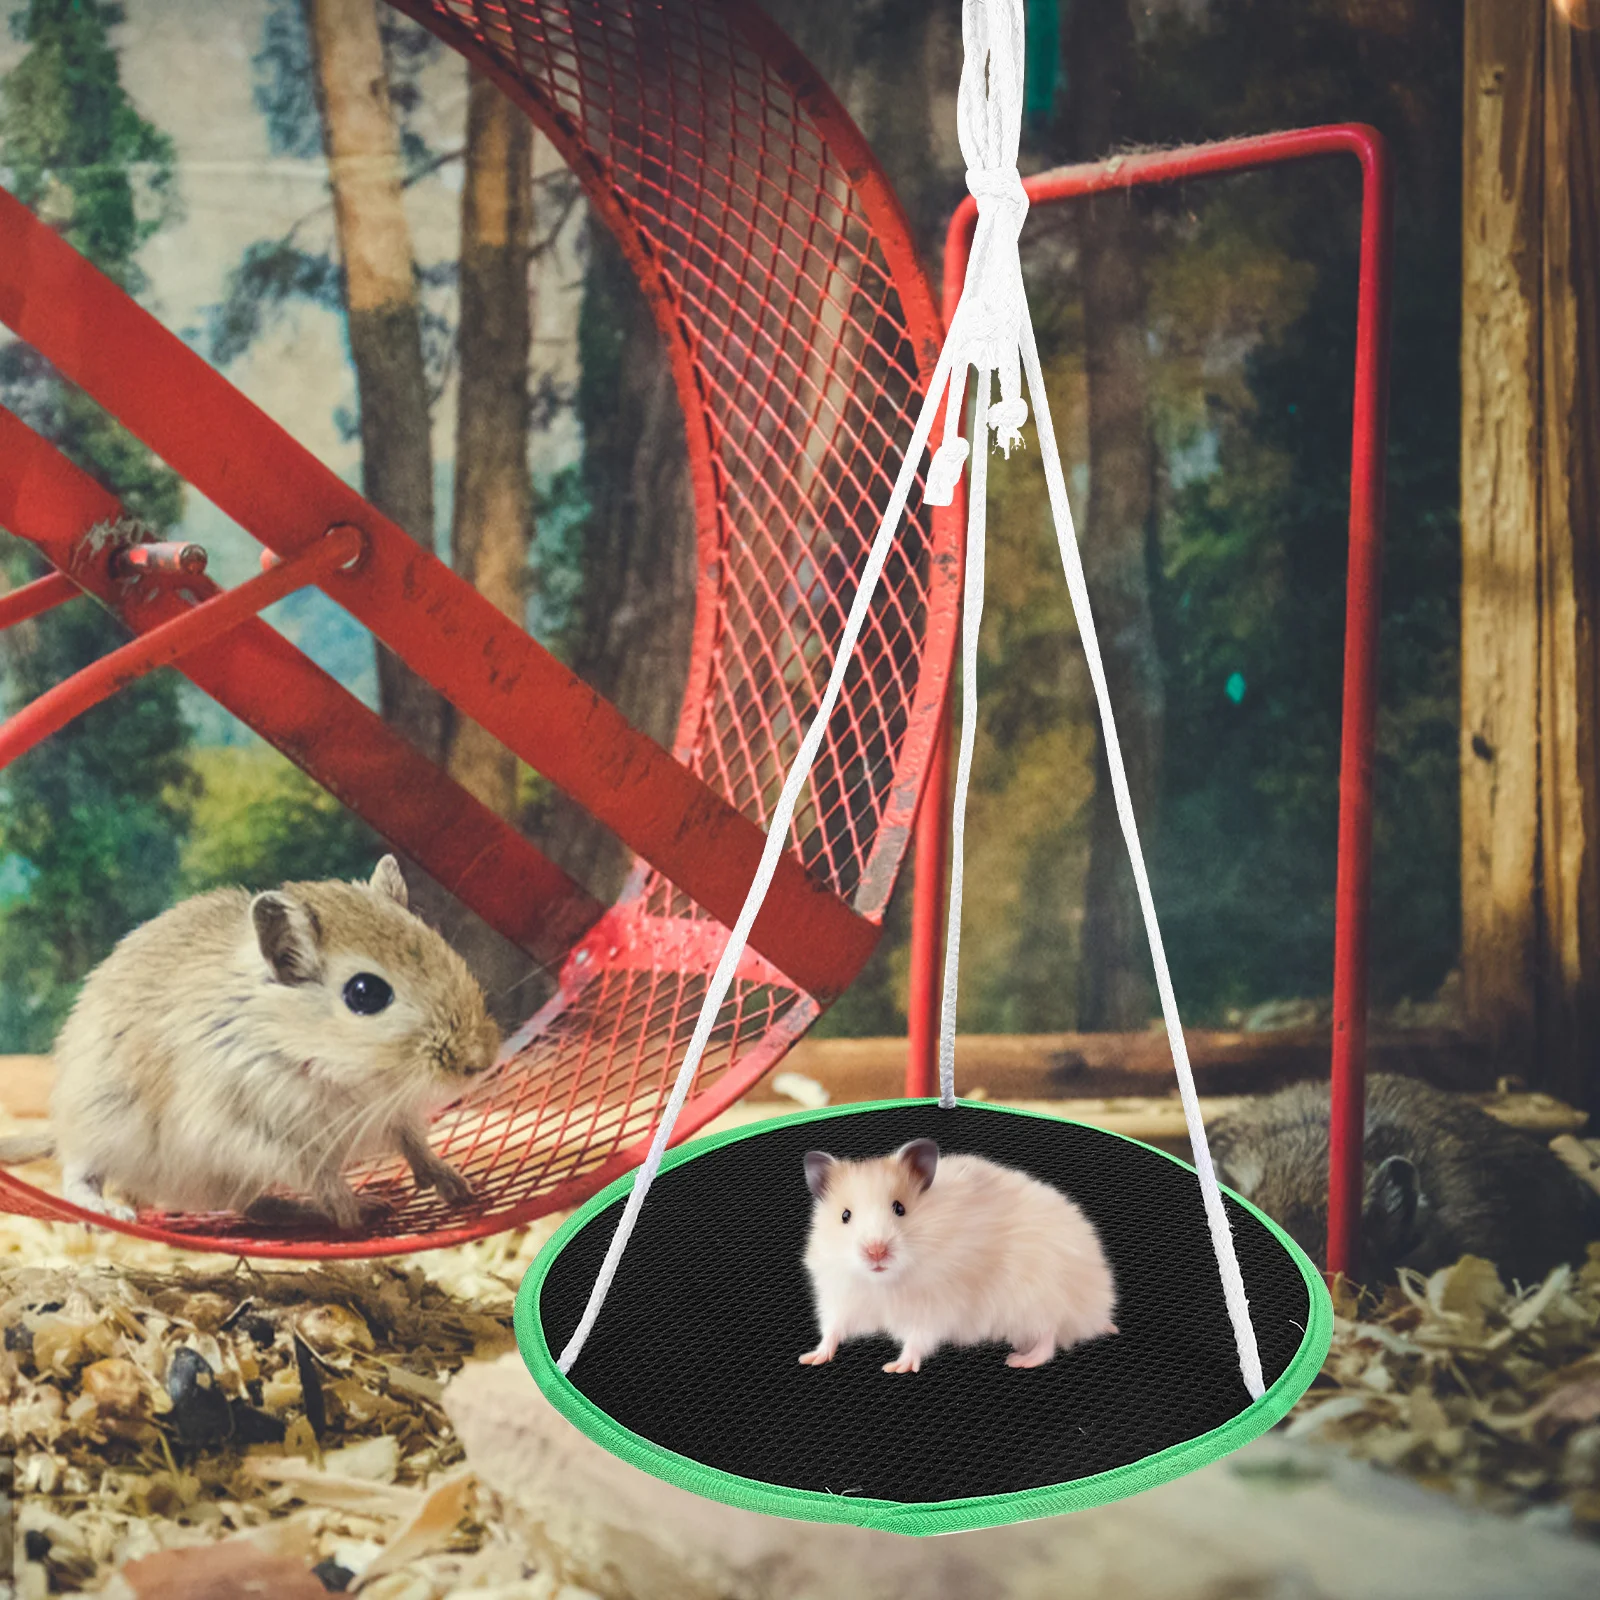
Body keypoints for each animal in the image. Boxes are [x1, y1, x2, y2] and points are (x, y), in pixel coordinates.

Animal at [0, 857, 500, 1228]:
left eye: (445, 950)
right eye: (365, 993)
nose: (481, 1062)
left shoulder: (394, 1114)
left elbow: (415, 1144)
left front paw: (459, 1186)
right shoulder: (253, 1132)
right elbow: (318, 1172)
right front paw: (351, 1210)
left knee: (252, 1206)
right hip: (99, 1123)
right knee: (77, 1176)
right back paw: (109, 1211)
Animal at [798, 1138, 1119, 1374]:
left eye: (900, 1208)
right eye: (845, 1216)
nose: (876, 1251)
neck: (884, 1282)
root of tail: (1098, 1307)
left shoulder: (935, 1306)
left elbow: (918, 1338)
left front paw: (896, 1367)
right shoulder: (842, 1297)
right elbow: (833, 1328)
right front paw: (811, 1357)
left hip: (1039, 1297)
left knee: (1049, 1336)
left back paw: (1020, 1359)